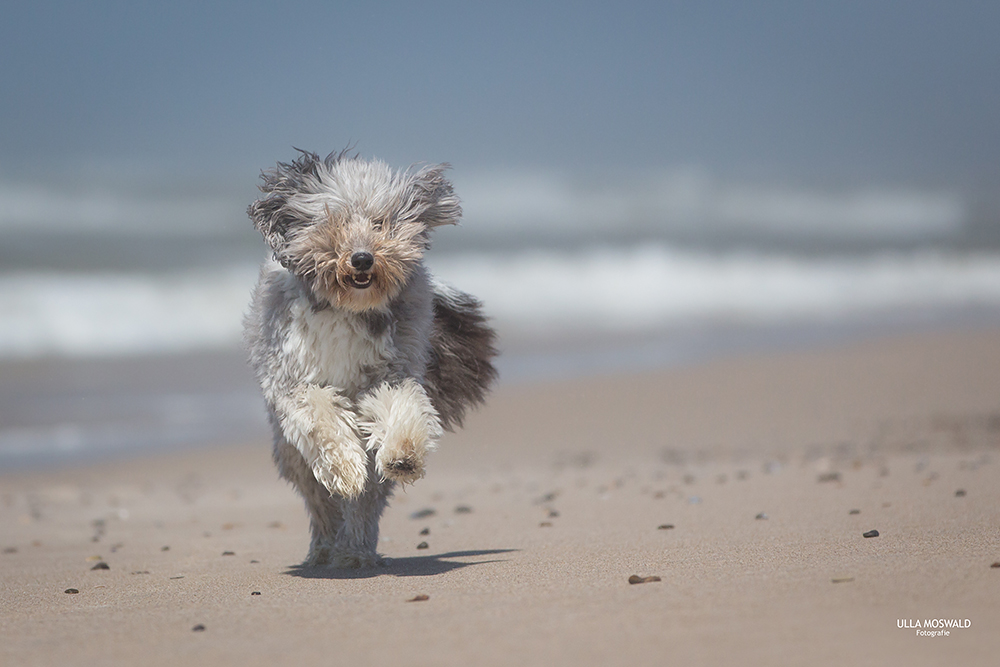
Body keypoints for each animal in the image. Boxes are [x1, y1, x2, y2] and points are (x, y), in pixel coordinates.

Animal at [246, 151, 496, 568]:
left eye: (380, 223)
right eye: (335, 221)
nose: (362, 259)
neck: (347, 308)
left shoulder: (389, 372)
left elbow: (399, 407)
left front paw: (404, 453)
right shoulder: (293, 379)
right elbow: (320, 419)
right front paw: (344, 468)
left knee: (367, 500)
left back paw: (355, 551)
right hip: (290, 452)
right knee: (319, 499)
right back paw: (325, 547)